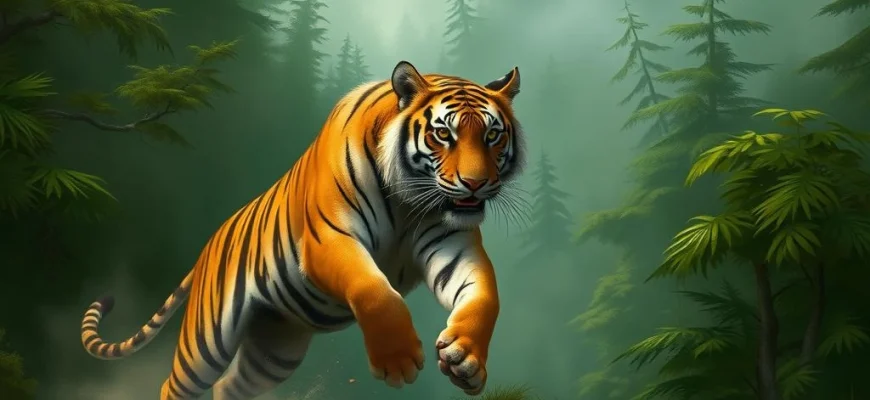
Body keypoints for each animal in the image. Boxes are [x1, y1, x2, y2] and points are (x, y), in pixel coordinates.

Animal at [79, 60, 524, 400]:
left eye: (492, 135)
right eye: (443, 134)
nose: (475, 183)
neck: (408, 201)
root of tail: (206, 247)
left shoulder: (453, 246)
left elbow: (486, 297)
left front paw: (466, 358)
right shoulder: (330, 239)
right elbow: (373, 288)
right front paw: (397, 360)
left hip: (275, 351)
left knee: (229, 387)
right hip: (205, 343)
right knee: (176, 386)